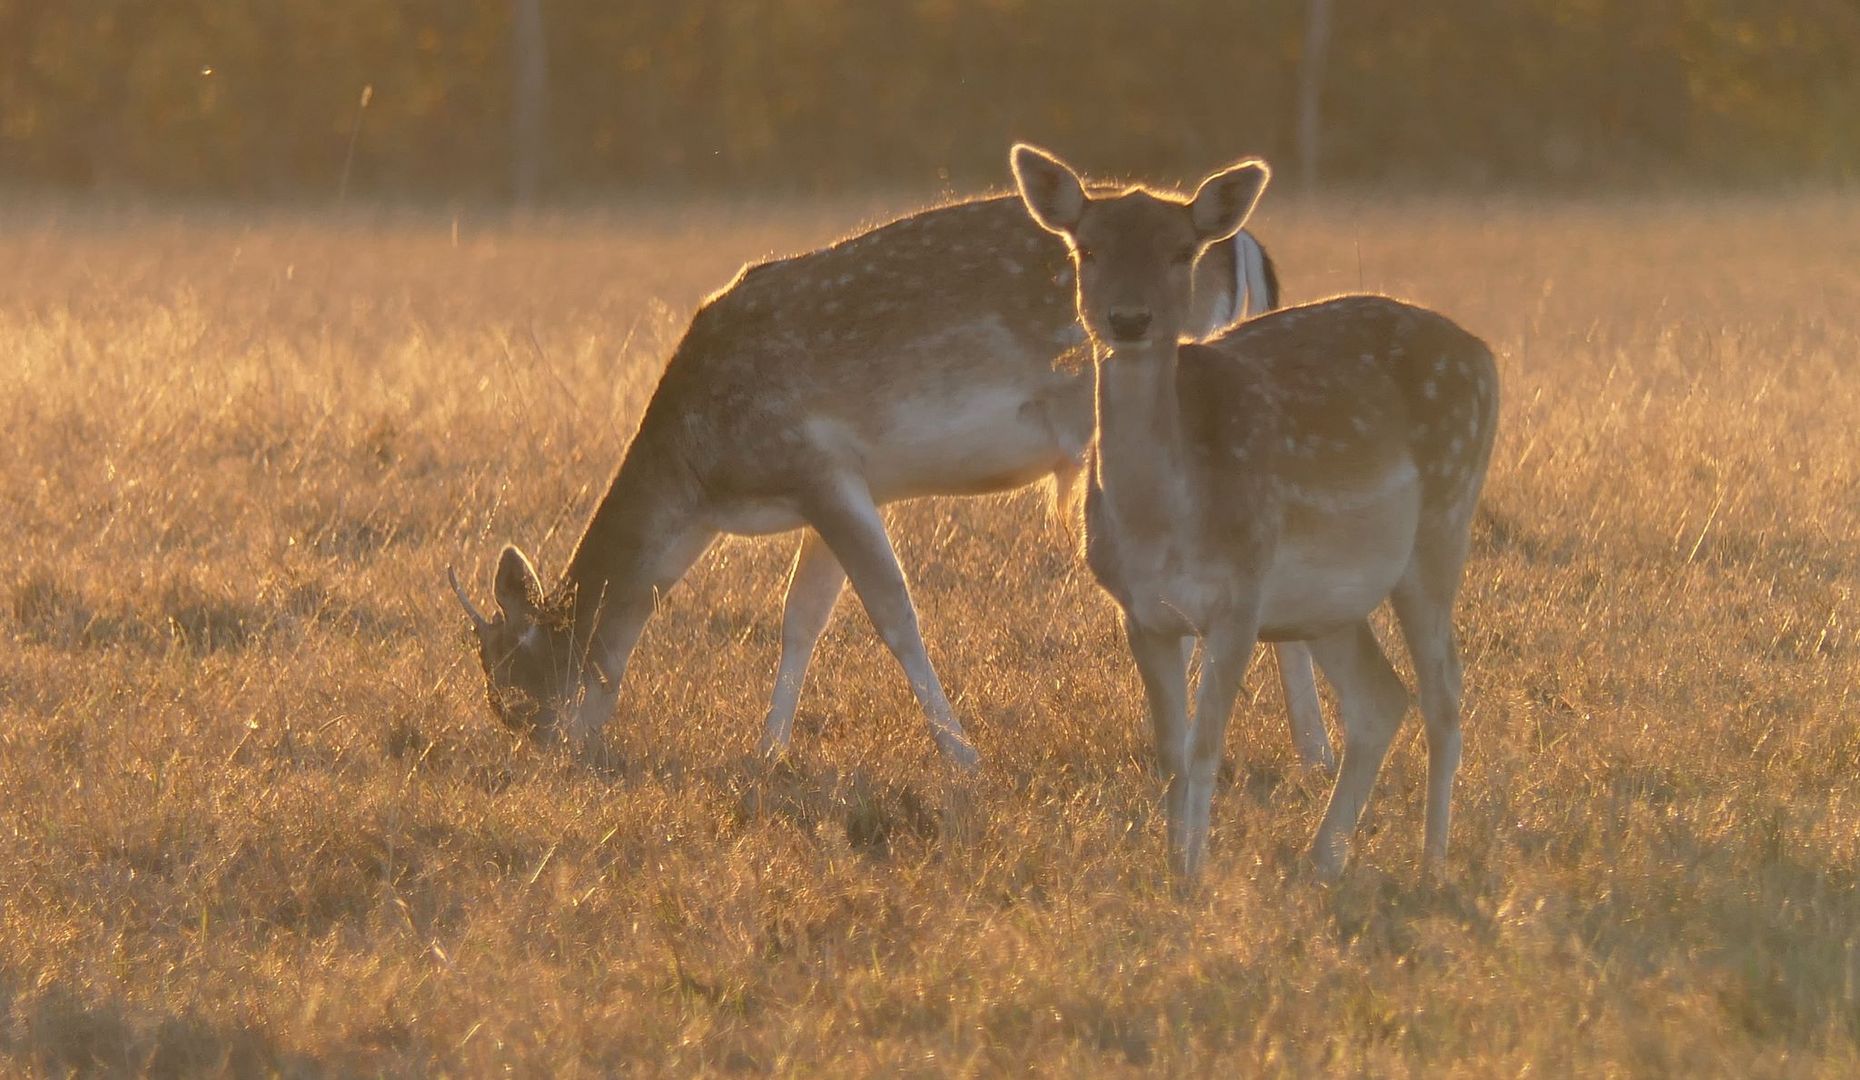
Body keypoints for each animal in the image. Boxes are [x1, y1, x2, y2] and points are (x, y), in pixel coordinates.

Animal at [450, 191, 1339, 765]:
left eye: (517, 687)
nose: (551, 753)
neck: (705, 482)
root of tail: (1246, 251)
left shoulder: (815, 461)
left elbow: (891, 612)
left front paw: (962, 758)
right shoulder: (842, 480)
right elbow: (802, 618)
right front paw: (766, 752)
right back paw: (1313, 750)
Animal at [1011, 143, 1502, 881]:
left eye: (1181, 250)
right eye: (1087, 248)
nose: (1129, 320)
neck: (1163, 524)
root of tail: (1486, 356)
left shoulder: (1241, 594)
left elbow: (1205, 743)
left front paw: (1196, 875)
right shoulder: (1139, 610)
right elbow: (1169, 751)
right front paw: (1172, 870)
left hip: (1443, 518)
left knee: (1444, 691)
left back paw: (1430, 863)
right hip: (1326, 600)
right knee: (1381, 697)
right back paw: (1323, 859)